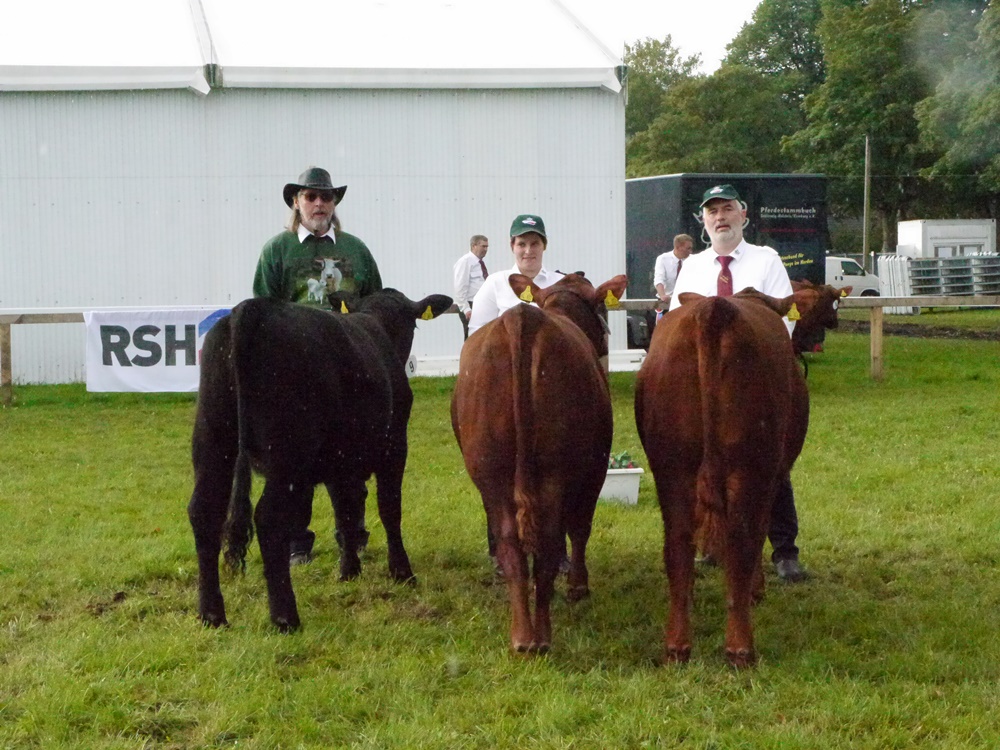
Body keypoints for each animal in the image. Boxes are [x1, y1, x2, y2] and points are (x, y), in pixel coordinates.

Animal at [188, 288, 453, 631]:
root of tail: (252, 309)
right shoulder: (394, 446)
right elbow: (389, 508)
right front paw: (402, 572)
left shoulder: (339, 462)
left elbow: (346, 511)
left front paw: (349, 571)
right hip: (287, 455)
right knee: (269, 519)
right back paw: (285, 618)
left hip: (213, 438)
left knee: (204, 512)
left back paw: (212, 615)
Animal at [451, 272, 629, 654]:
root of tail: (523, 318)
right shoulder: (595, 469)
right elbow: (579, 527)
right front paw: (578, 585)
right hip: (554, 471)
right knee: (549, 539)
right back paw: (541, 636)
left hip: (491, 472)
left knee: (510, 543)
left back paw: (522, 636)